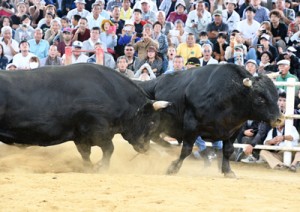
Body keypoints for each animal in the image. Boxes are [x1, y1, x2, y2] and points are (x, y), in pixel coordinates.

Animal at [0, 63, 169, 170]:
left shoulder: (81, 137)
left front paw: (90, 168)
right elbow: (109, 149)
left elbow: (86, 155)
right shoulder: (98, 131)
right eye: (152, 122)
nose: (145, 148)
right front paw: (101, 167)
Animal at [137, 63, 284, 176]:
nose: (280, 119)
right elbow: (187, 149)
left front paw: (228, 171)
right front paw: (173, 168)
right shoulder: (191, 126)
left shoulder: (233, 130)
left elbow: (228, 150)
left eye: (276, 95)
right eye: (260, 98)